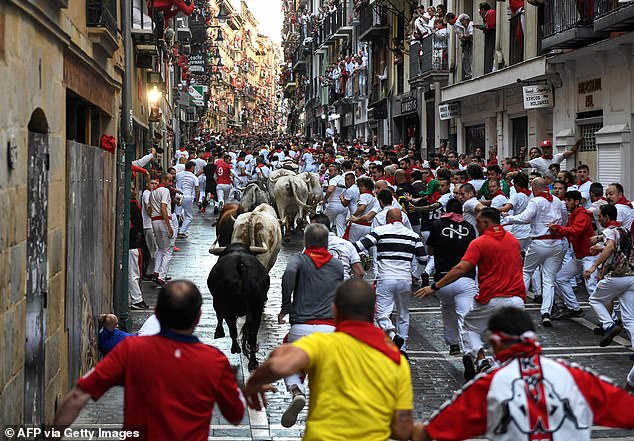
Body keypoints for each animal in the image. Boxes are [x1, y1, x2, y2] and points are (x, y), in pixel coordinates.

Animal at [206, 242, 268, 370]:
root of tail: (240, 265)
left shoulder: (217, 302)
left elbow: (219, 316)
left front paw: (218, 332)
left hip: (227, 306)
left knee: (233, 329)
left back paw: (235, 348)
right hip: (257, 308)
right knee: (252, 335)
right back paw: (253, 362)